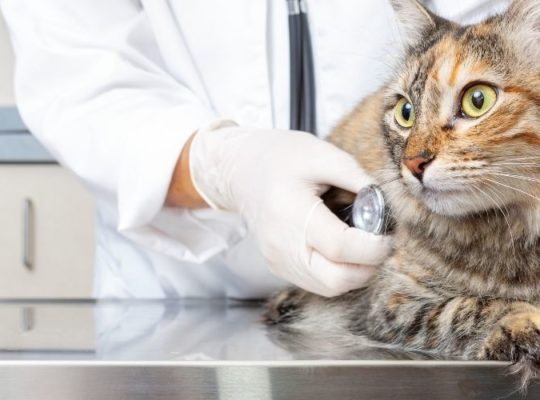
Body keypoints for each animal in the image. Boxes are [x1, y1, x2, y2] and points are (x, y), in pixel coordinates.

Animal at [264, 0, 540, 389]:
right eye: (405, 112)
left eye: (478, 100)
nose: (413, 163)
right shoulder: (392, 301)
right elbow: (471, 306)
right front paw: (522, 322)